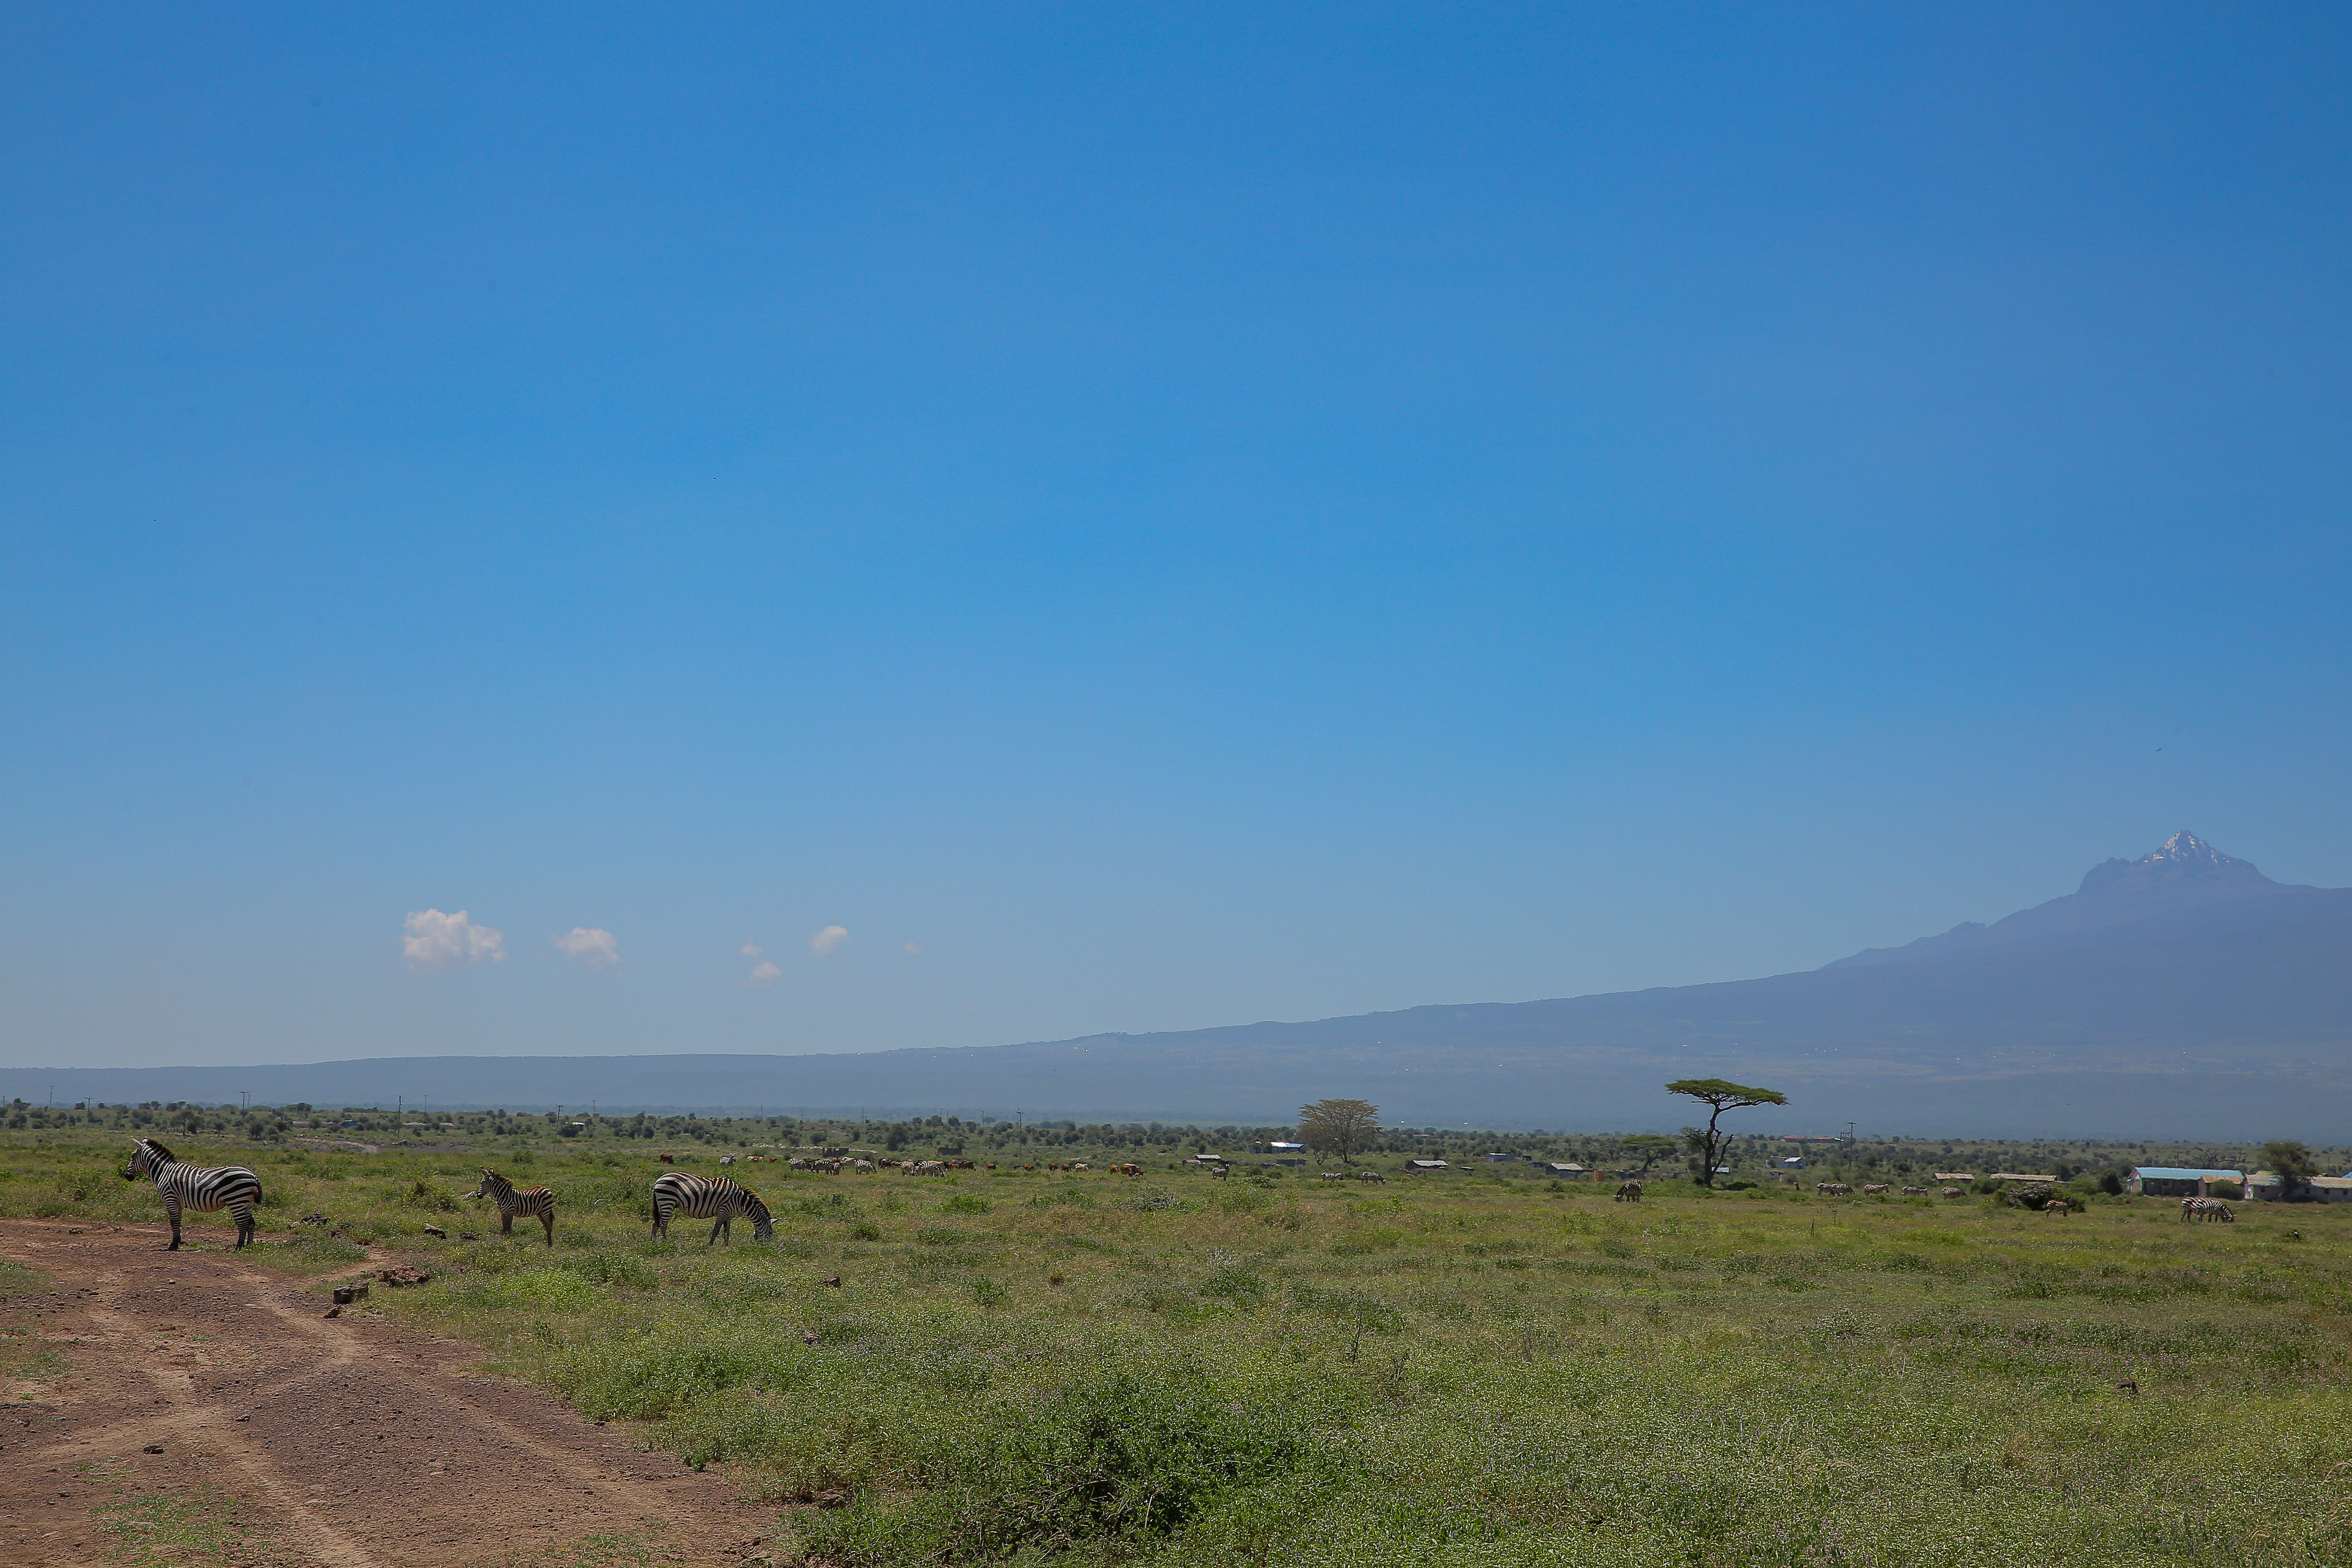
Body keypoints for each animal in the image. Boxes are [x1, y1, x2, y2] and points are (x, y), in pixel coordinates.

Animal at [121, 1138, 262, 1250]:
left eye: (132, 1157)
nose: (127, 1177)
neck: (163, 1171)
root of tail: (253, 1175)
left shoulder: (170, 1198)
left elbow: (173, 1222)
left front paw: (173, 1245)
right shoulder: (178, 1202)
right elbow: (178, 1221)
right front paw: (177, 1242)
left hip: (236, 1200)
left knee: (243, 1224)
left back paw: (239, 1247)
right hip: (247, 1203)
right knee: (251, 1224)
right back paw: (249, 1246)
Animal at [471, 1168, 556, 1246]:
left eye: (482, 1183)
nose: (478, 1196)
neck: (503, 1195)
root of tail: (548, 1189)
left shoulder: (510, 1212)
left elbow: (508, 1228)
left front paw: (508, 1242)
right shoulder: (503, 1213)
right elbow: (504, 1228)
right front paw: (503, 1241)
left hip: (546, 1209)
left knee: (550, 1224)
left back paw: (550, 1244)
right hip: (539, 1212)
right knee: (545, 1225)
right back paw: (548, 1242)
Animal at [651, 1172, 774, 1244]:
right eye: (771, 1233)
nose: (766, 1247)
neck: (741, 1201)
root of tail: (658, 1180)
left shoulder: (729, 1215)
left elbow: (727, 1230)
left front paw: (726, 1245)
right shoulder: (723, 1210)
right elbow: (717, 1229)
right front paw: (711, 1244)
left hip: (662, 1203)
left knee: (656, 1223)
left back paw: (653, 1242)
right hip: (668, 1201)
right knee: (664, 1224)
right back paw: (665, 1242)